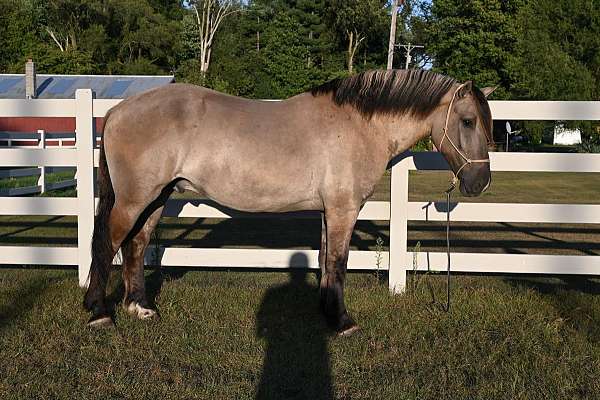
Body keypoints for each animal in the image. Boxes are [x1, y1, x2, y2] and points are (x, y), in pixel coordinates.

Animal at [85, 69, 496, 334]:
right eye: (468, 121)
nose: (480, 182)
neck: (357, 125)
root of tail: (117, 110)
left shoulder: (330, 211)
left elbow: (327, 260)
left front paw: (326, 312)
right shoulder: (344, 209)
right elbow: (339, 263)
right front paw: (342, 322)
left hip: (157, 198)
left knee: (136, 245)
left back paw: (140, 308)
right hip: (134, 200)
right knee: (107, 243)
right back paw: (98, 313)